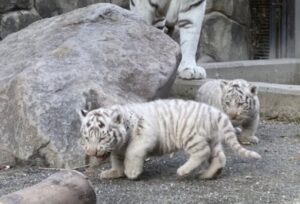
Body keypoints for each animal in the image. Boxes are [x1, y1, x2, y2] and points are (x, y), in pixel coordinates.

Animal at [79, 99, 260, 180]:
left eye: (102, 138)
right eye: (87, 138)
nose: (92, 152)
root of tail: (215, 112)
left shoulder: (144, 137)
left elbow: (132, 152)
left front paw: (131, 172)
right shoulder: (117, 148)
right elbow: (116, 160)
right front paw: (113, 173)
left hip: (191, 135)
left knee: (202, 152)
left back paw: (183, 170)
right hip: (213, 138)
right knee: (219, 156)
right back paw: (207, 174)